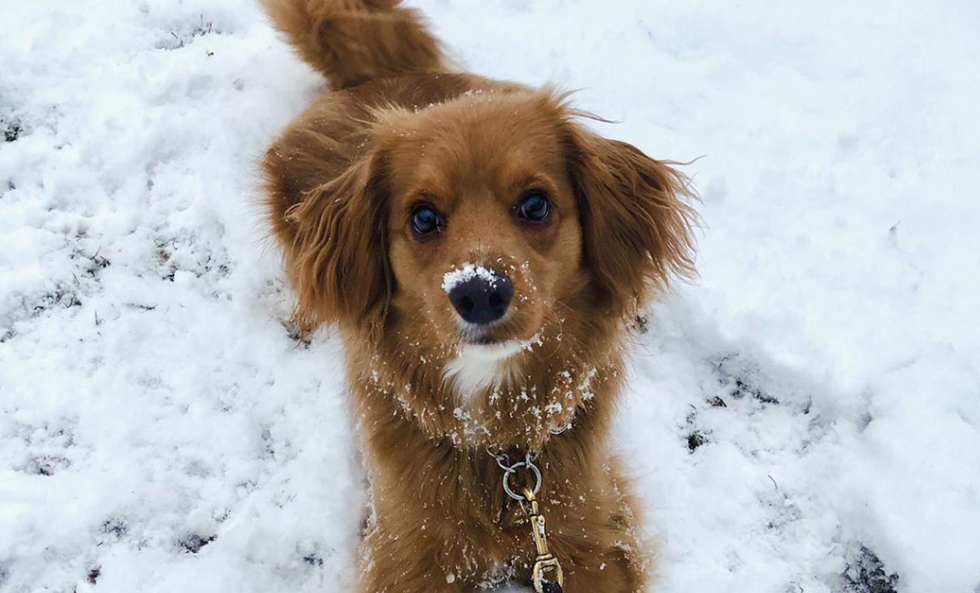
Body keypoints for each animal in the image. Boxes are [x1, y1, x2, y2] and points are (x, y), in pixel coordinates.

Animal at [256, 2, 692, 588]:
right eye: (422, 217)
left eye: (535, 205)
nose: (480, 293)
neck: (505, 459)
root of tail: (374, 76)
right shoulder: (406, 550)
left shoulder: (590, 534)